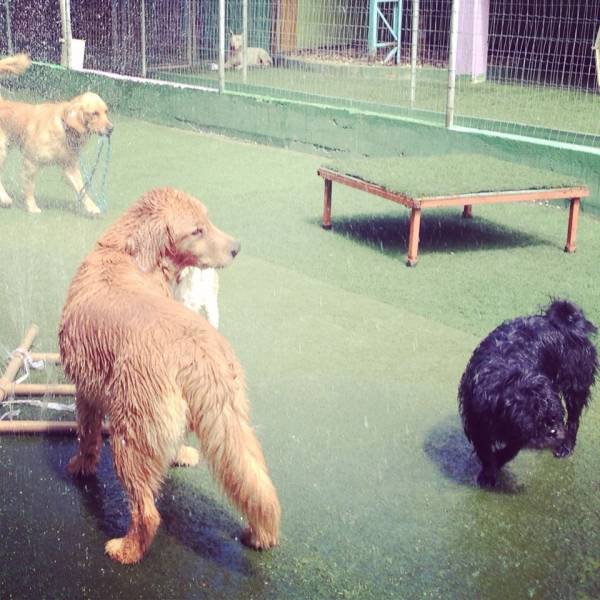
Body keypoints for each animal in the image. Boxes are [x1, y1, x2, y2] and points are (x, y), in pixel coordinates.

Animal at [0, 54, 112, 213]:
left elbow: (82, 189)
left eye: (106, 112)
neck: (65, 129)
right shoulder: (30, 162)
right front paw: (32, 207)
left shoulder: (69, 167)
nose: (111, 129)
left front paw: (92, 207)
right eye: (94, 113)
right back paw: (5, 199)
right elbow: (29, 188)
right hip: (2, 150)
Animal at [58, 190, 278, 564]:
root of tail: (198, 349)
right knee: (256, 482)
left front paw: (80, 467)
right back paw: (261, 534)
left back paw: (126, 549)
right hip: (231, 423)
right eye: (198, 229)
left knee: (147, 513)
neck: (125, 255)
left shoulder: (85, 390)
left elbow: (87, 437)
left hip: (130, 436)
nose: (236, 248)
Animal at [460, 300, 596, 488]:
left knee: (574, 420)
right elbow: (485, 450)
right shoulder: (476, 419)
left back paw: (566, 447)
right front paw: (488, 472)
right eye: (537, 421)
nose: (554, 431)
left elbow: (510, 449)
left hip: (575, 384)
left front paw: (498, 461)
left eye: (555, 417)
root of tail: (569, 322)